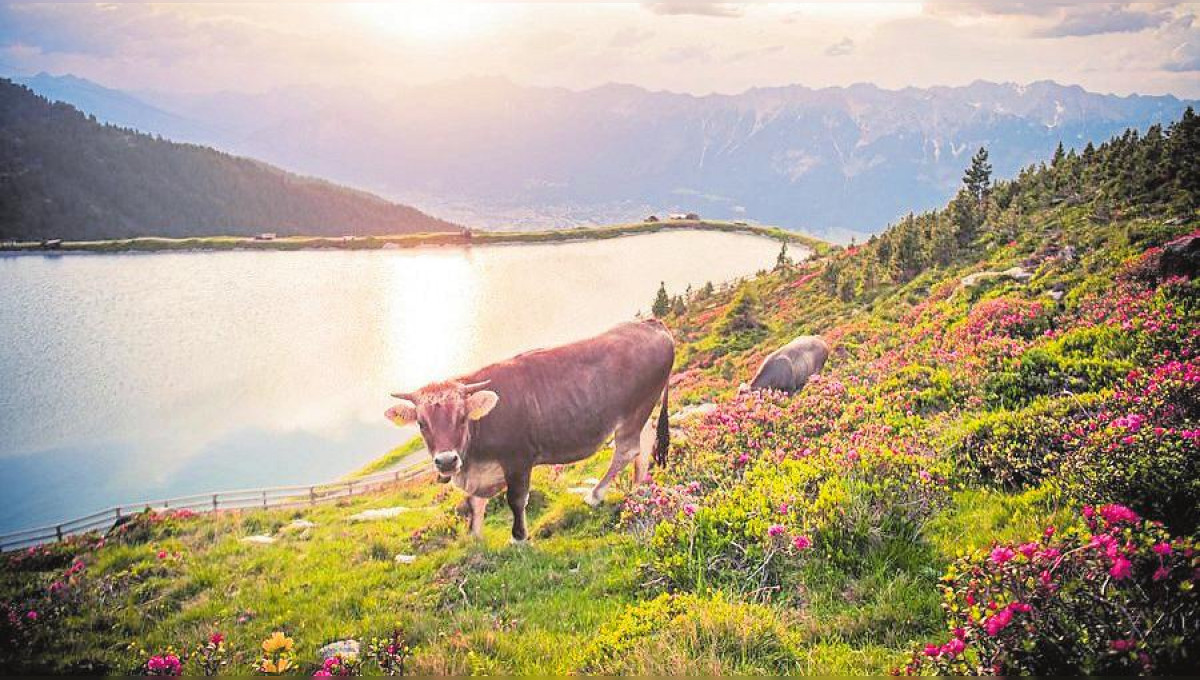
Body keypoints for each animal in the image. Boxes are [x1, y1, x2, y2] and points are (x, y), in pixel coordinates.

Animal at [391, 319, 681, 542]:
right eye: (421, 424)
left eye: (462, 418)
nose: (447, 461)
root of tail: (651, 324)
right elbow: (474, 502)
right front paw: (475, 537)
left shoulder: (518, 458)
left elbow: (516, 499)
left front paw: (518, 537)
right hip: (644, 410)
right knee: (644, 442)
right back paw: (638, 485)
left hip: (635, 410)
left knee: (627, 450)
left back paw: (595, 495)